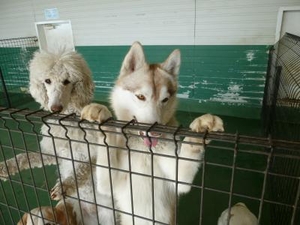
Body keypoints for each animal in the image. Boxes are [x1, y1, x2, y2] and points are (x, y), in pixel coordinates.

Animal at [81, 41, 224, 224]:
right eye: (141, 96)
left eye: (165, 99)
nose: (155, 134)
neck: (144, 150)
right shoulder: (107, 183)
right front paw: (100, 112)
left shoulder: (180, 177)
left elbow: (188, 152)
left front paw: (202, 126)